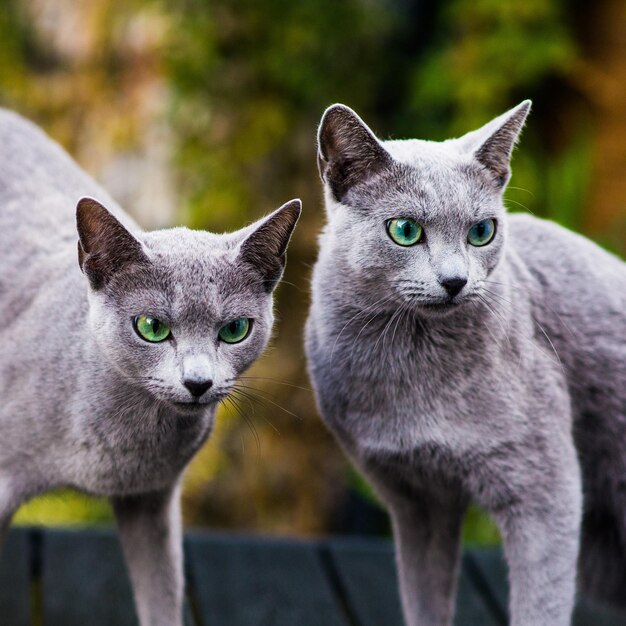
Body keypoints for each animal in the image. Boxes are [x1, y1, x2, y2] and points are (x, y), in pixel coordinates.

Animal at [304, 102, 624, 624]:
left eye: (482, 232)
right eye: (405, 230)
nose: (455, 281)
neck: (414, 370)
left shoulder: (545, 487)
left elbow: (540, 603)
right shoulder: (416, 499)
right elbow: (424, 598)